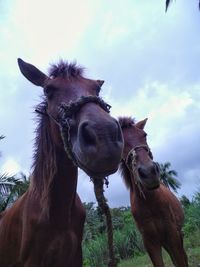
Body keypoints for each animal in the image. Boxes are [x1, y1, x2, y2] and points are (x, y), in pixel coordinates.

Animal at [119, 117, 189, 267]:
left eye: (144, 135)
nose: (149, 172)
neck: (150, 203)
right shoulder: (151, 243)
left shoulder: (173, 235)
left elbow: (180, 261)